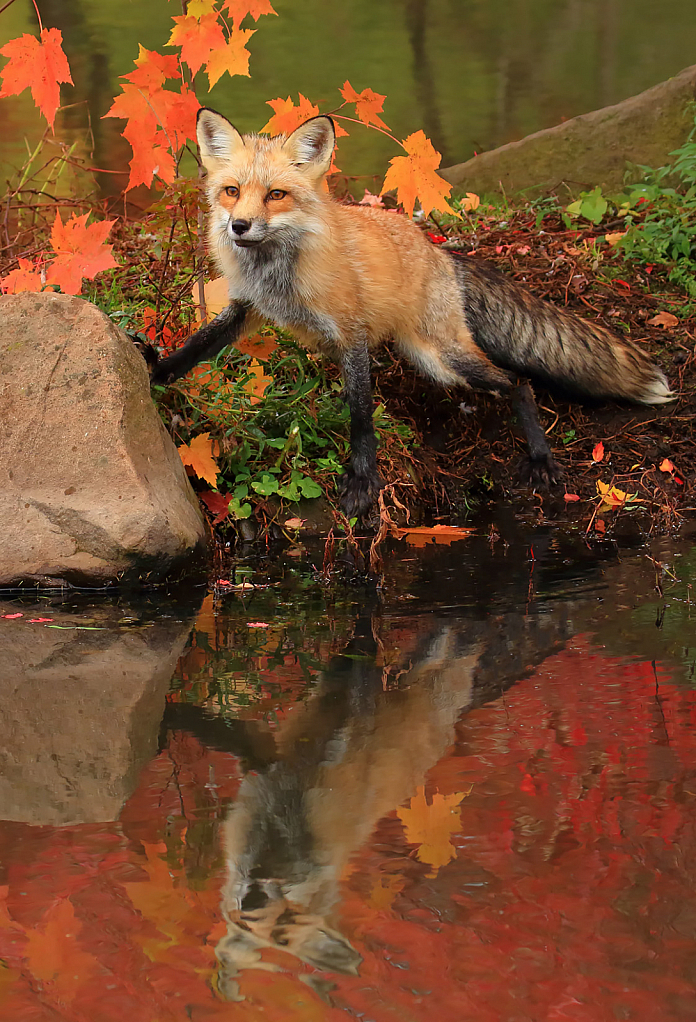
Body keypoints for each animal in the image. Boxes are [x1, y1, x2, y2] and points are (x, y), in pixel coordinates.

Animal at [148, 107, 674, 515]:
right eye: (232, 191)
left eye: (276, 195)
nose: (239, 226)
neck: (278, 273)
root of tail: (441, 253)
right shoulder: (245, 308)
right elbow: (194, 349)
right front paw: (155, 369)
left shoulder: (352, 332)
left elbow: (361, 414)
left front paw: (363, 481)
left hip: (442, 358)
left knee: (519, 384)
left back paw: (540, 459)